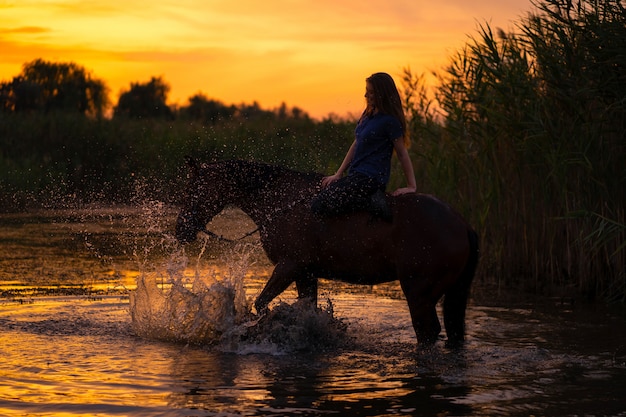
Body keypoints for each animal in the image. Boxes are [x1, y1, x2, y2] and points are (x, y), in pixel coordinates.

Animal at [176, 158, 478, 346]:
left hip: (419, 293)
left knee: (428, 332)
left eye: (193, 190)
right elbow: (305, 308)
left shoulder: (289, 266)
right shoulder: (305, 274)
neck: (281, 202)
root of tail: (461, 224)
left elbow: (261, 304)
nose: (181, 230)